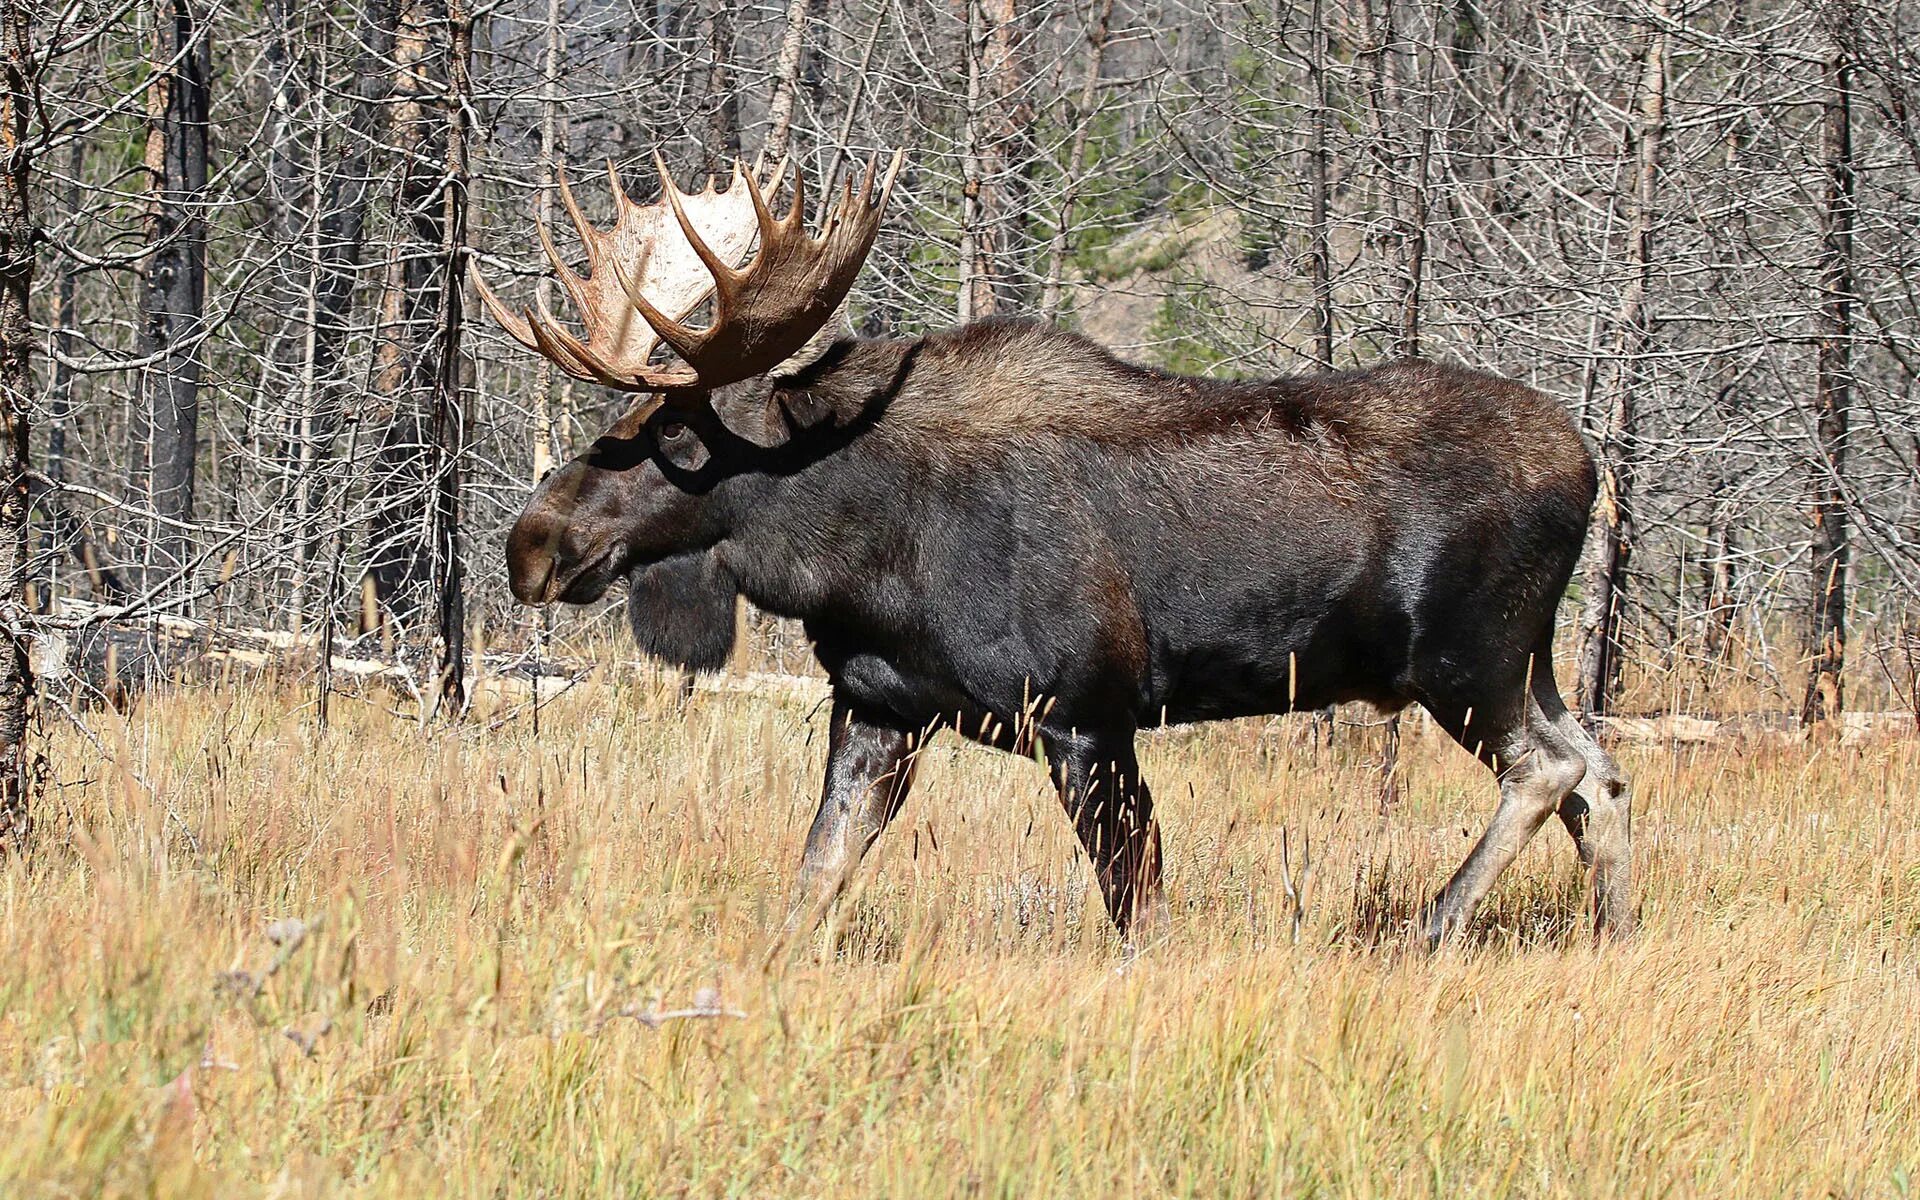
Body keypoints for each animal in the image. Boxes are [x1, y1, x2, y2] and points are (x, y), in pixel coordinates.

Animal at [480, 149, 1635, 944]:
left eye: (673, 434)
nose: (530, 544)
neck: (860, 555)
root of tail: (1592, 468)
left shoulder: (1087, 716)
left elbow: (1139, 913)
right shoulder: (880, 710)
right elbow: (812, 883)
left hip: (1464, 656)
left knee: (1550, 770)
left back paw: (1431, 924)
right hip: (1523, 660)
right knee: (1602, 772)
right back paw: (1612, 933)